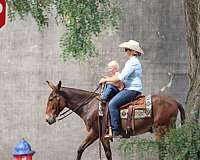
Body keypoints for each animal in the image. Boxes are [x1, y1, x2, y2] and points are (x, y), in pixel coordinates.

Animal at [45, 81, 186, 160]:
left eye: (51, 99)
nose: (47, 119)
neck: (90, 106)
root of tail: (174, 101)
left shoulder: (96, 133)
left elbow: (81, 149)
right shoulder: (102, 136)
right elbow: (106, 153)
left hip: (160, 129)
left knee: (163, 150)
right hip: (170, 129)